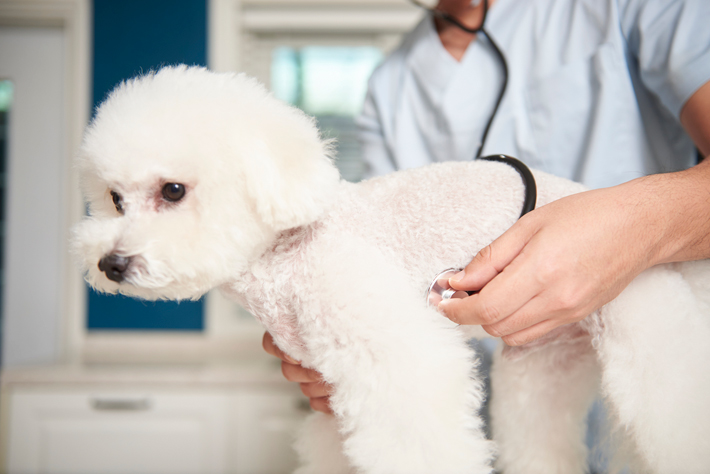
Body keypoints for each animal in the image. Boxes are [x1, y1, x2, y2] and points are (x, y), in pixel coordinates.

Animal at [72, 66, 710, 474]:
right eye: (114, 199)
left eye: (173, 191)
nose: (111, 264)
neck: (287, 257)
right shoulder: (332, 395)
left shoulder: (397, 361)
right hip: (542, 374)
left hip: (652, 351)